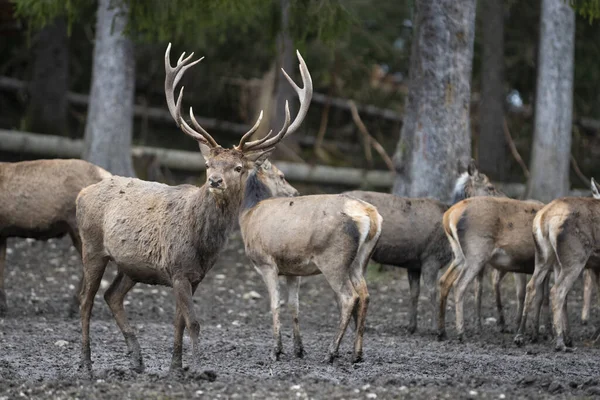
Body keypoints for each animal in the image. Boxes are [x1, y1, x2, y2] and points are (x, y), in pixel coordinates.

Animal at [72, 43, 312, 376]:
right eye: (209, 164)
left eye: (238, 167)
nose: (215, 180)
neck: (202, 241)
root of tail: (82, 193)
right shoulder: (177, 268)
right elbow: (194, 322)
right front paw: (201, 368)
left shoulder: (192, 275)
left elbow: (180, 321)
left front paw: (176, 366)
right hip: (92, 246)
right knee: (86, 299)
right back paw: (85, 361)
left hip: (131, 265)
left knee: (112, 295)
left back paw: (137, 359)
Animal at [238, 161, 380, 364]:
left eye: (282, 175)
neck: (248, 215)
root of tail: (371, 215)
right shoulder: (292, 269)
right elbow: (294, 304)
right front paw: (298, 350)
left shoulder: (266, 263)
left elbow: (275, 304)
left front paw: (276, 351)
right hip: (360, 261)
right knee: (365, 295)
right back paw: (356, 354)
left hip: (333, 260)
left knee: (349, 297)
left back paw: (331, 352)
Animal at [510, 178, 600, 350]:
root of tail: (543, 218)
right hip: (575, 257)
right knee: (557, 291)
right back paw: (559, 341)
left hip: (546, 257)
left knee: (532, 286)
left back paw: (521, 335)